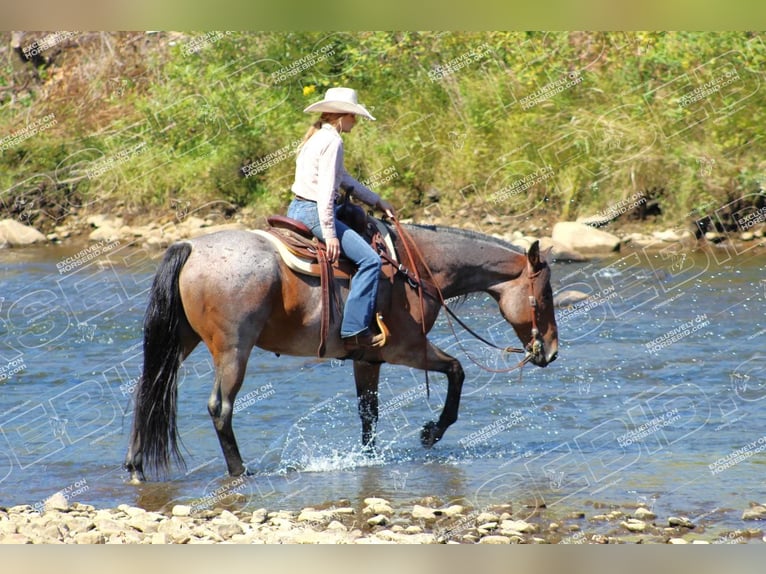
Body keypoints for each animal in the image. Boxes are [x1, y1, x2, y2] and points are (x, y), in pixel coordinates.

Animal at [124, 223, 560, 484]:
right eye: (544, 297)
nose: (552, 352)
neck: (417, 271)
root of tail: (190, 247)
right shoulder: (407, 348)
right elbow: (456, 371)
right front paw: (431, 432)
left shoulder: (368, 360)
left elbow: (369, 412)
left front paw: (368, 458)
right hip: (233, 350)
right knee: (220, 407)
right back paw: (239, 470)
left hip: (181, 343)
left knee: (150, 391)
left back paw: (136, 467)